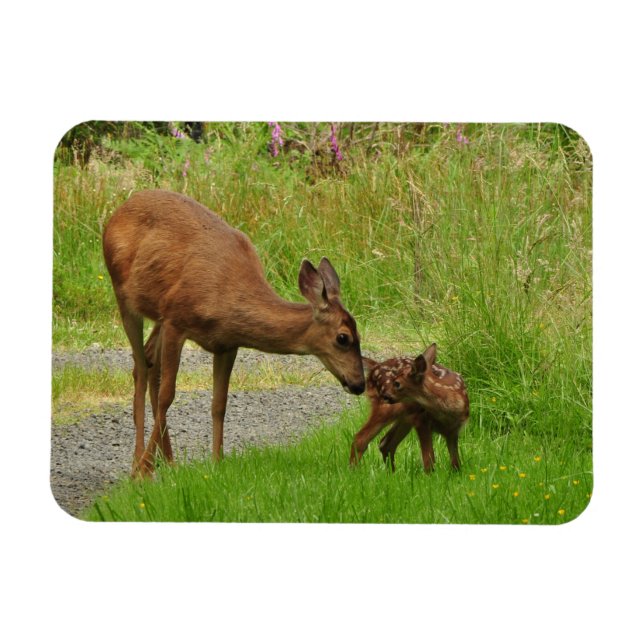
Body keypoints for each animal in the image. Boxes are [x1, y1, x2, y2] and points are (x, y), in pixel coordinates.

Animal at [102, 189, 365, 477]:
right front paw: (144, 470)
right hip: (124, 295)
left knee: (150, 361)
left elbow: (219, 404)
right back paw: (138, 463)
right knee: (140, 367)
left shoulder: (226, 344)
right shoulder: (176, 321)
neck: (225, 298)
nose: (359, 384)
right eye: (343, 338)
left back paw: (169, 461)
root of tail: (118, 210)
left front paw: (217, 463)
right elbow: (167, 396)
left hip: (159, 312)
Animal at [350, 343, 469, 472]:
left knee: (385, 443)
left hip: (405, 417)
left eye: (397, 383)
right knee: (360, 439)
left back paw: (392, 473)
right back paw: (353, 472)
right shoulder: (422, 421)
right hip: (388, 409)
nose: (385, 395)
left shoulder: (453, 430)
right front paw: (431, 475)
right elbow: (429, 459)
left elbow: (456, 462)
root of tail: (375, 366)